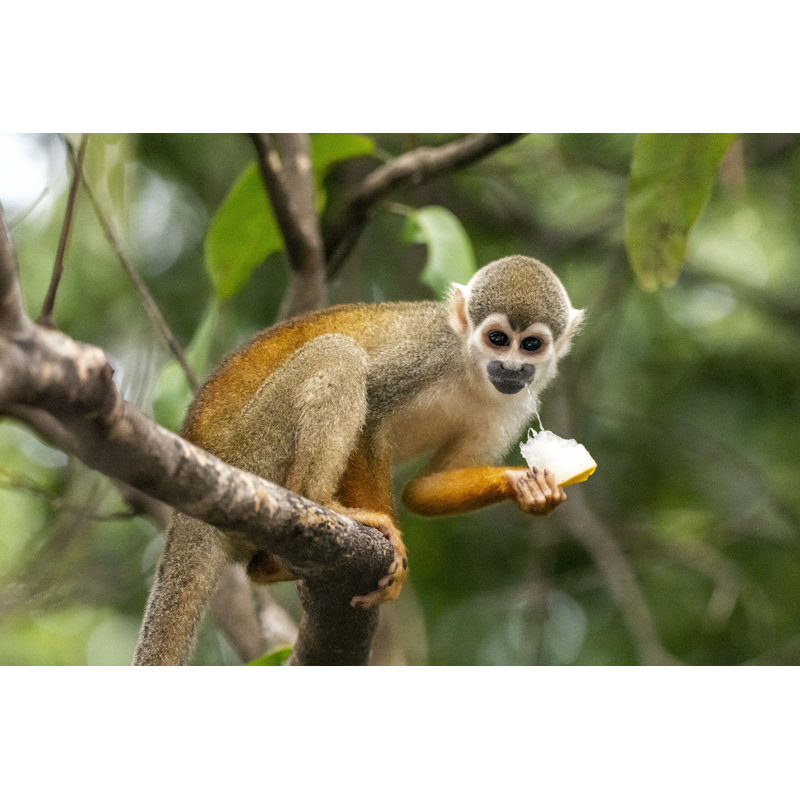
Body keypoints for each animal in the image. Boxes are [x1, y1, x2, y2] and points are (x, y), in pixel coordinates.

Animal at [133, 255, 584, 665]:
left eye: (531, 345)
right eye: (498, 339)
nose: (510, 367)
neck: (471, 370)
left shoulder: (517, 404)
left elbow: (421, 490)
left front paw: (528, 486)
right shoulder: (427, 354)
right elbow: (370, 415)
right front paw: (393, 548)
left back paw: (269, 566)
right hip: (253, 451)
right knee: (340, 354)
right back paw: (317, 503)